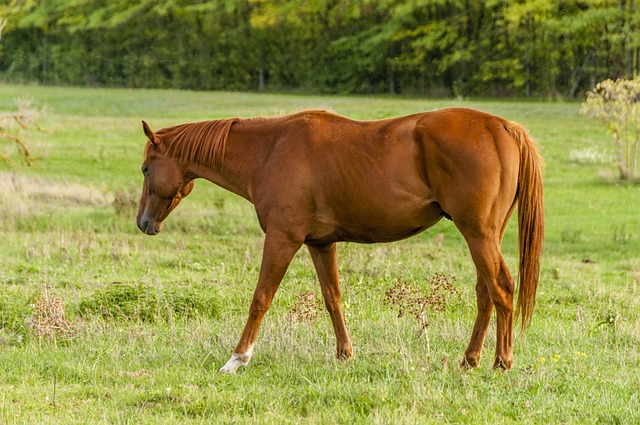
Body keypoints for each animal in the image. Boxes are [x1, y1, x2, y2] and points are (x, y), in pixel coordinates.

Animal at [136, 107, 544, 372]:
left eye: (145, 168)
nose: (143, 222)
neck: (269, 151)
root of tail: (502, 127)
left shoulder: (282, 239)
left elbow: (261, 298)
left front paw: (237, 358)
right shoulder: (320, 243)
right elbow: (332, 297)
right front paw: (345, 354)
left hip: (478, 235)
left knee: (501, 288)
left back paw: (502, 361)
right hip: (484, 236)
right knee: (486, 293)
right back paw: (470, 359)